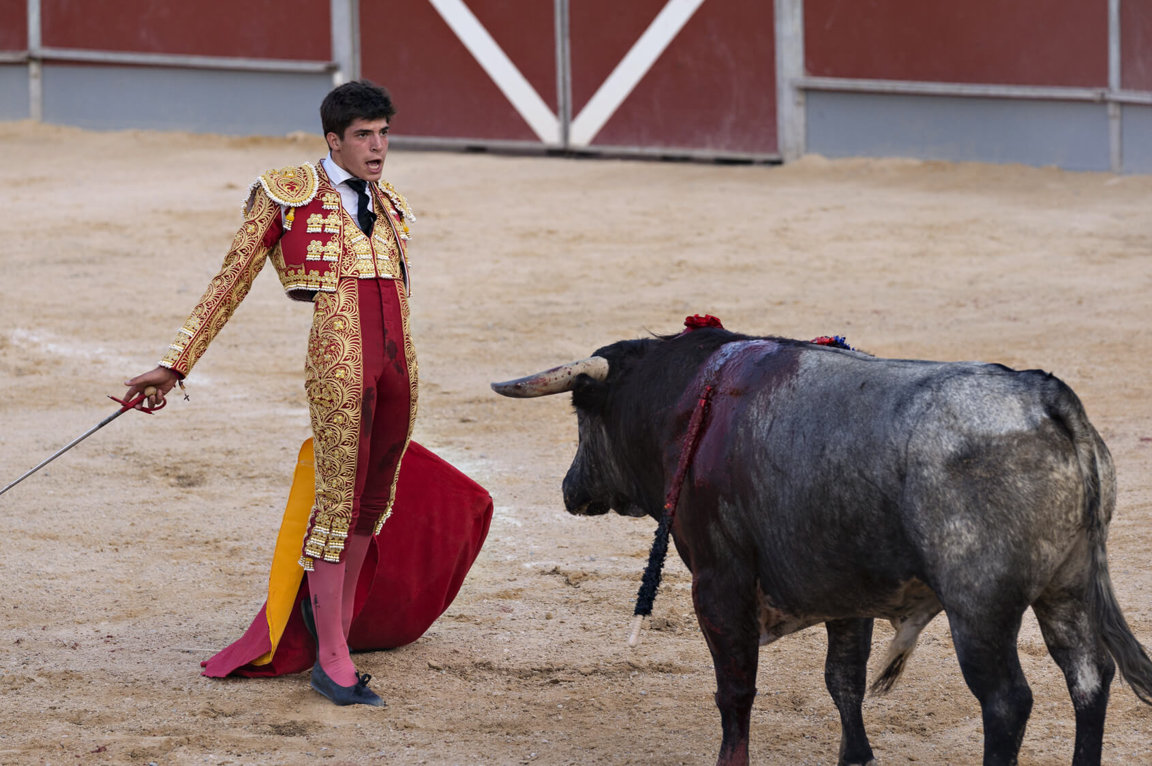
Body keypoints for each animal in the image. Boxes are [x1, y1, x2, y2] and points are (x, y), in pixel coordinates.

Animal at [490, 324, 1152, 764]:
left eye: (582, 411)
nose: (571, 489)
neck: (692, 399)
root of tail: (1045, 397)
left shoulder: (720, 581)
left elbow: (736, 688)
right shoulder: (846, 594)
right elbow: (844, 680)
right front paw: (855, 757)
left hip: (980, 609)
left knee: (1007, 702)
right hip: (1066, 590)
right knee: (1088, 677)